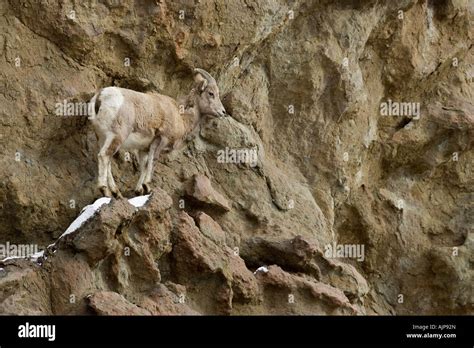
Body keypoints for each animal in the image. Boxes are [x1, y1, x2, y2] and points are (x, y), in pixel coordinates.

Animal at [89, 68, 228, 198]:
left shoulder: (144, 149)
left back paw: (116, 193)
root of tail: (101, 96)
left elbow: (144, 165)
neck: (181, 117)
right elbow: (153, 161)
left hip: (102, 137)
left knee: (107, 161)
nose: (223, 112)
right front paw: (147, 187)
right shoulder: (161, 139)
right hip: (117, 136)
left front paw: (139, 190)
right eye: (211, 93)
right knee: (104, 156)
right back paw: (105, 190)